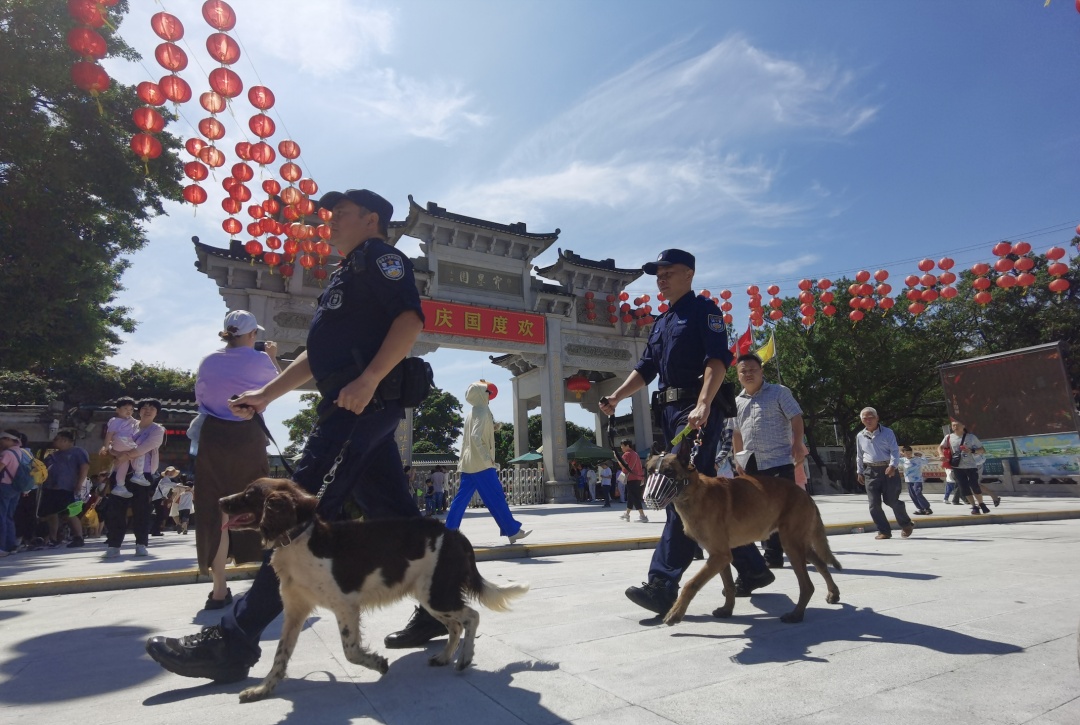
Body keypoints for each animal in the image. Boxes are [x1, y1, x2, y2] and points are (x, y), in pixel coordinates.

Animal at [222, 479, 531, 700]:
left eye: (249, 494)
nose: (221, 500)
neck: (298, 538)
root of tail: (455, 534)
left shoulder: (345, 605)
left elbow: (350, 650)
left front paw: (378, 663)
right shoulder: (295, 612)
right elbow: (280, 655)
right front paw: (262, 690)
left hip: (437, 594)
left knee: (471, 617)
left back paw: (464, 659)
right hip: (429, 595)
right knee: (455, 625)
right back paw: (444, 656)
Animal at [643, 445, 838, 626]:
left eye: (669, 472)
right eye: (650, 472)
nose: (650, 497)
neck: (694, 492)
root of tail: (805, 494)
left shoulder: (720, 556)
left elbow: (691, 584)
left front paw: (675, 612)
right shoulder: (719, 557)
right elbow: (729, 585)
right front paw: (727, 609)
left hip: (791, 546)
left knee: (807, 585)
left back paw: (796, 614)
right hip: (798, 545)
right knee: (821, 564)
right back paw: (833, 593)